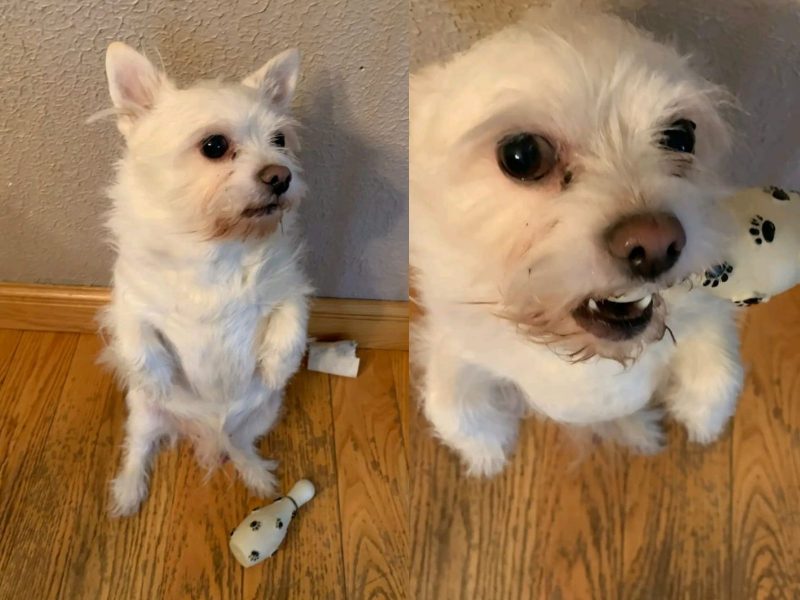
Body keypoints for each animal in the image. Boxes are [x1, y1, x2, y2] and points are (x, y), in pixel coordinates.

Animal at [99, 42, 312, 512]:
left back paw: (256, 475)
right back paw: (128, 491)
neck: (218, 246)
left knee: (240, 443)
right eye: (214, 146)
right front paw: (156, 377)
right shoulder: (130, 301)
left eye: (279, 141)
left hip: (263, 414)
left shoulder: (290, 290)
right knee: (138, 446)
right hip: (143, 416)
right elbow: (137, 339)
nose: (281, 176)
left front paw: (277, 366)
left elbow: (291, 326)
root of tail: (209, 428)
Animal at [410, 3, 748, 474]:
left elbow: (721, 373)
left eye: (681, 136)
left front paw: (702, 422)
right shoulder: (454, 345)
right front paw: (487, 455)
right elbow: (452, 407)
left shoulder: (706, 312)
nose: (656, 245)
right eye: (521, 155)